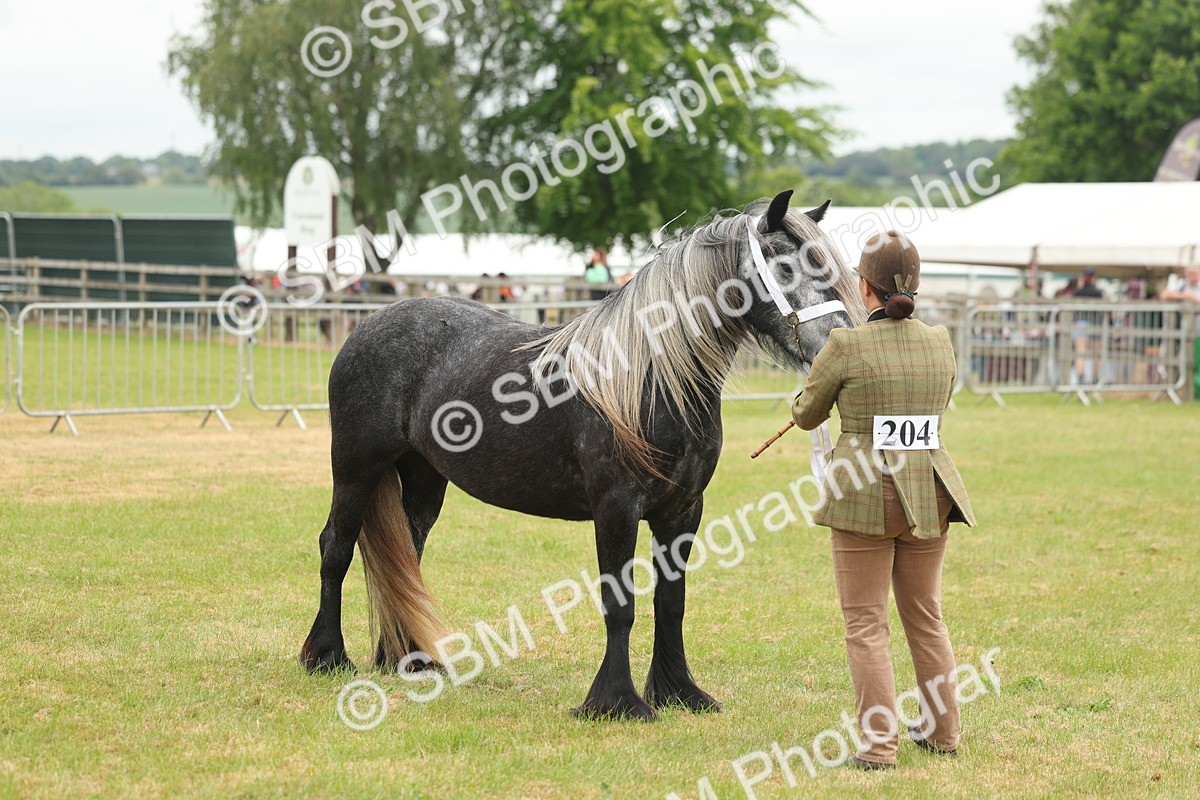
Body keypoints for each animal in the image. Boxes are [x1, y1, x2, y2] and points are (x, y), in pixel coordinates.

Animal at [299, 190, 865, 719]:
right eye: (784, 265)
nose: (839, 344)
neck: (648, 378)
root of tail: (370, 326)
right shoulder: (616, 509)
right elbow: (621, 604)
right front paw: (616, 702)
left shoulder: (683, 510)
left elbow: (671, 603)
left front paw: (679, 692)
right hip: (356, 469)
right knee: (336, 546)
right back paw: (327, 657)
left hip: (422, 479)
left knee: (406, 556)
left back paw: (407, 660)